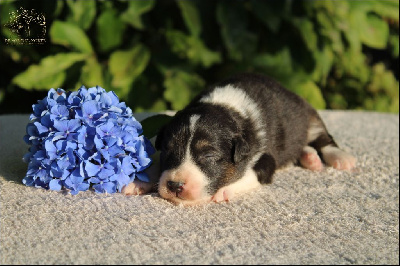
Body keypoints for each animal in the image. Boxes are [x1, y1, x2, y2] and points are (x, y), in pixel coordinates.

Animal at [121, 72, 356, 206]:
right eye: (169, 150)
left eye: (209, 156)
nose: (175, 185)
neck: (225, 107)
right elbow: (154, 161)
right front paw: (138, 181)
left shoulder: (264, 157)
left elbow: (250, 173)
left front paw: (224, 191)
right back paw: (309, 157)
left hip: (308, 114)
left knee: (323, 138)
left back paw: (339, 157)